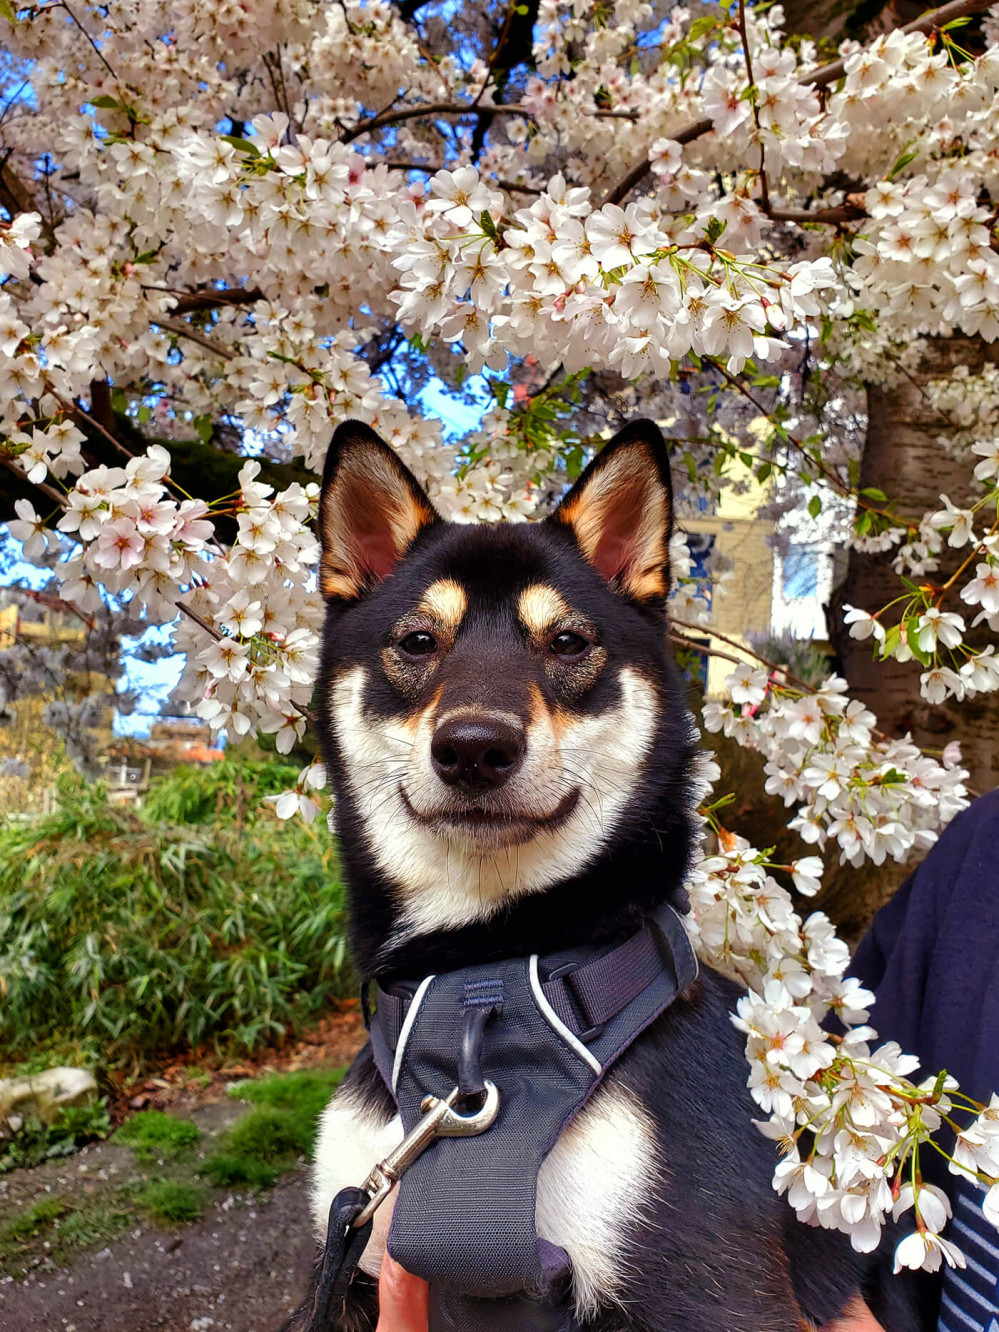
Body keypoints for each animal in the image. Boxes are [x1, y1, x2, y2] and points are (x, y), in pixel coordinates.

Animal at [301, 418, 911, 1332]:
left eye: (566, 642)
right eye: (416, 642)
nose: (473, 747)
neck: (480, 978)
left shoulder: (707, 1286)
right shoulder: (346, 1262)